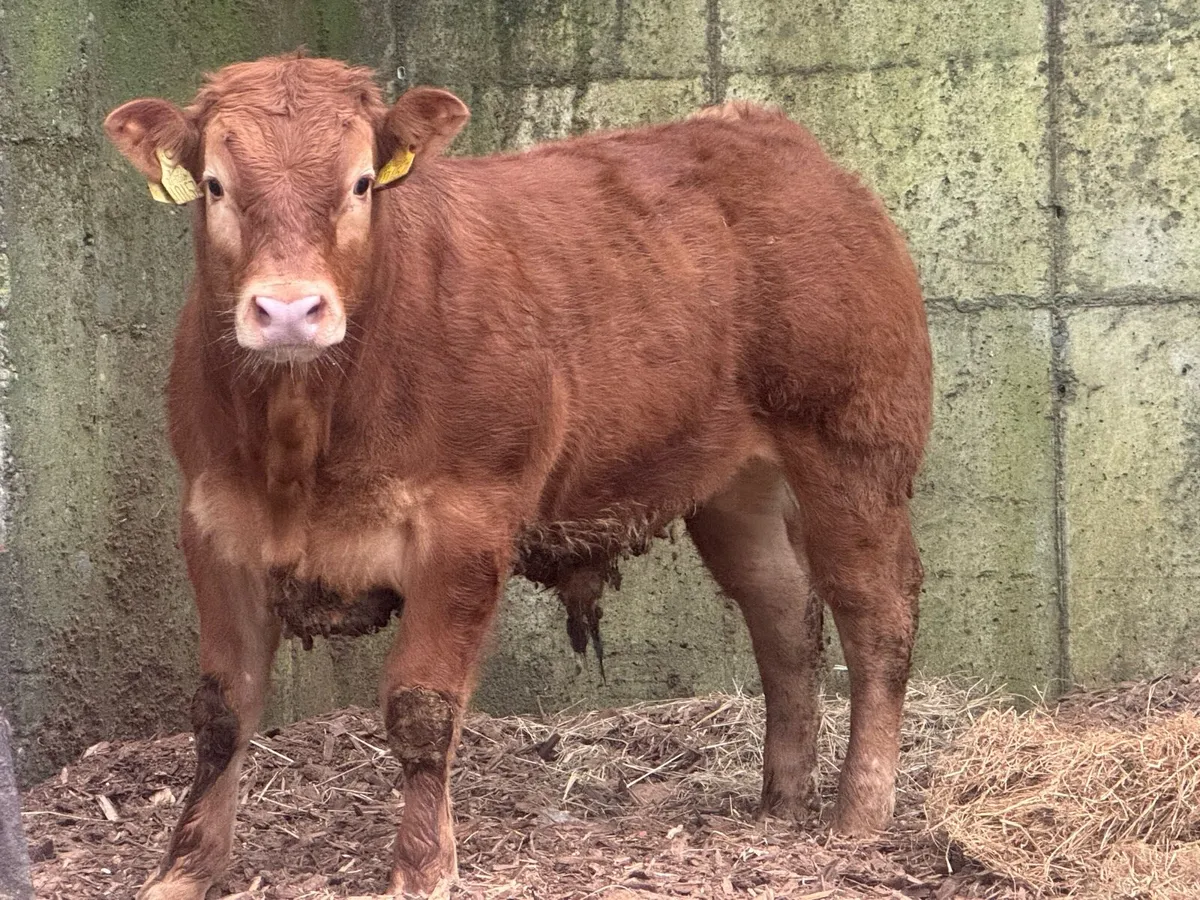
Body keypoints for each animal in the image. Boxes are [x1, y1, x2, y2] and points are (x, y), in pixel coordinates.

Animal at [104, 53, 932, 898]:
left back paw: (857, 814)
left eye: (362, 182)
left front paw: (421, 868)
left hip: (854, 445)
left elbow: (421, 707)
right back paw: (782, 800)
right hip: (735, 482)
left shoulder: (466, 524)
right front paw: (185, 868)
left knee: (876, 614)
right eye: (214, 185)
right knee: (782, 609)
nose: (289, 311)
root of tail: (769, 134)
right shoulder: (213, 522)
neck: (301, 438)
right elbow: (221, 710)